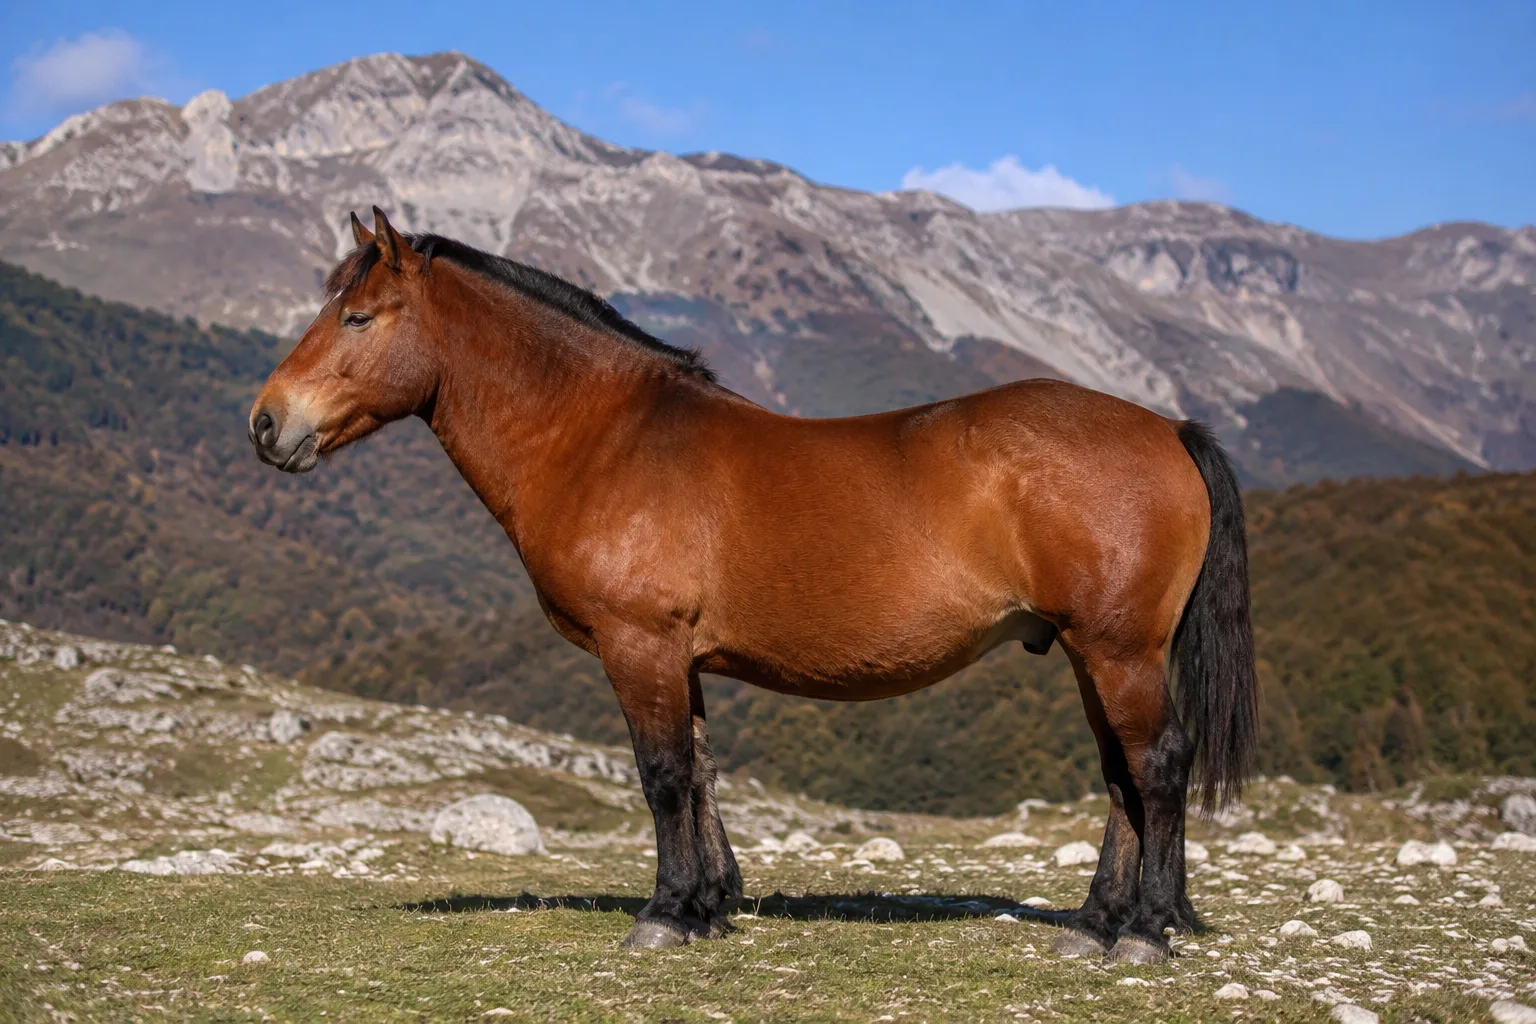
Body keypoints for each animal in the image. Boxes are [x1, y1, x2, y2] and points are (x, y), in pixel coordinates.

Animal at [249, 207, 1257, 963]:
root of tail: (1166, 428)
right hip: (1092, 655)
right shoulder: (679, 658)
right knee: (1122, 777)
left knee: (1158, 766)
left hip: (1119, 652)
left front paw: (664, 917)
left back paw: (1146, 932)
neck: (606, 438)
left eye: (357, 318)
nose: (265, 424)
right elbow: (698, 772)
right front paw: (706, 904)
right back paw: (1095, 926)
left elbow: (660, 776)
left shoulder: (640, 646)